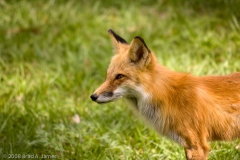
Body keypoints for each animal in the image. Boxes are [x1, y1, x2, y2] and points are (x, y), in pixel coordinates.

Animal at [90, 29, 240, 159]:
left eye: (119, 76)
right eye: (107, 75)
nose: (93, 96)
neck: (169, 96)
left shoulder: (197, 146)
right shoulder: (188, 146)